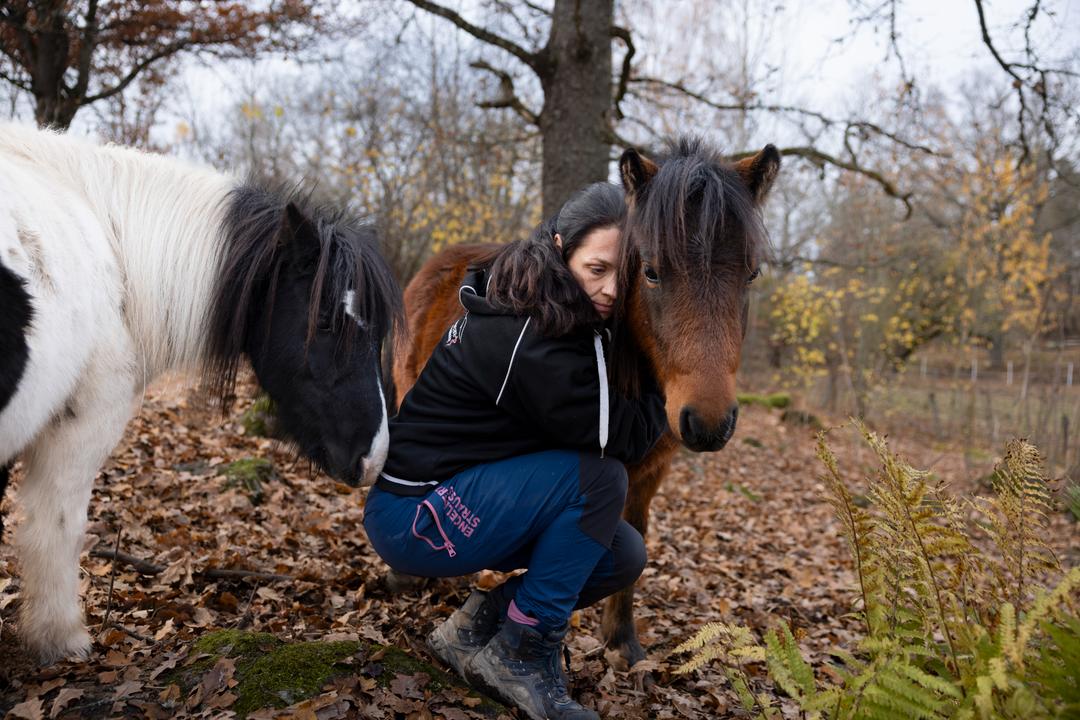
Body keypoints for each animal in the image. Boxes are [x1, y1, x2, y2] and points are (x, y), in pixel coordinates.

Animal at [0, 125, 401, 664]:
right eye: (325, 320)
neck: (113, 250)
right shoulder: (77, 431)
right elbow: (58, 528)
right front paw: (60, 638)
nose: (373, 456)